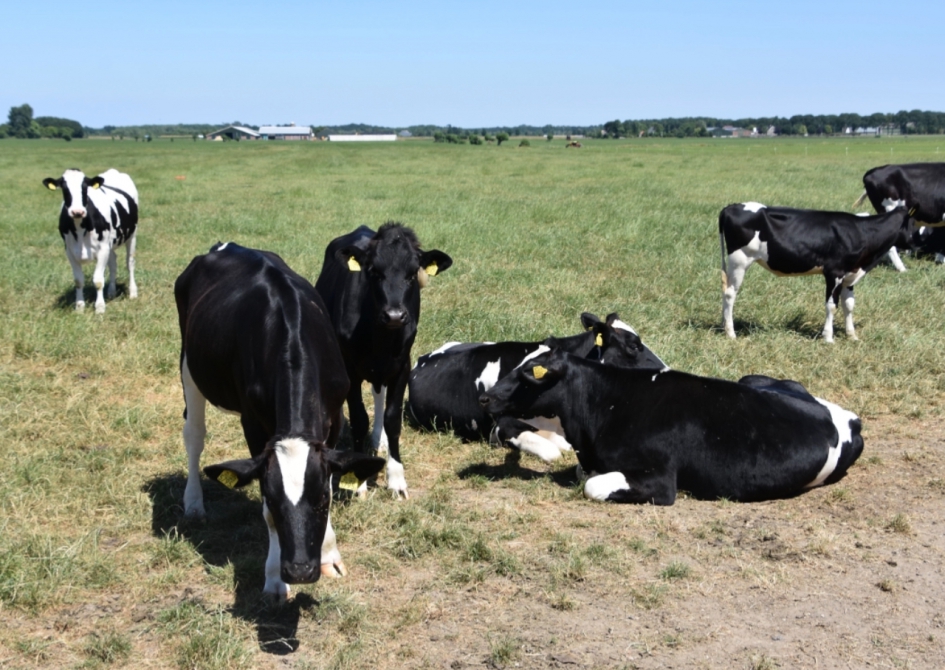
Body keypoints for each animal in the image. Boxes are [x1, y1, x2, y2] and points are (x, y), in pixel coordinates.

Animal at [42, 169, 139, 313]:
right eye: (64, 188)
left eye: (84, 187)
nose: (77, 211)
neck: (80, 228)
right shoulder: (70, 251)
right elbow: (78, 280)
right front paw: (79, 307)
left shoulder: (103, 249)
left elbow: (98, 280)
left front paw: (100, 308)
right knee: (113, 263)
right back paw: (111, 291)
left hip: (132, 235)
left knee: (130, 263)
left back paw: (133, 293)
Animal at [175, 242, 385, 600]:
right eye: (273, 500)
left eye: (321, 500)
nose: (299, 570)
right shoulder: (254, 427)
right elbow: (265, 514)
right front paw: (274, 579)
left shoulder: (333, 421)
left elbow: (331, 478)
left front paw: (329, 556)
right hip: (189, 365)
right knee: (194, 435)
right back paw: (193, 503)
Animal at [315, 223, 452, 499]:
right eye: (374, 272)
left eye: (412, 274)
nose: (395, 315)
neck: (380, 338)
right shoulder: (351, 369)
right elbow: (359, 419)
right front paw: (358, 481)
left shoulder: (401, 367)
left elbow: (392, 418)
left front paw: (396, 479)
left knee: (379, 395)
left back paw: (379, 439)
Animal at [720, 201, 916, 342]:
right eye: (914, 223)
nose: (916, 245)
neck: (861, 232)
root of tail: (731, 206)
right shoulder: (834, 273)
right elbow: (832, 305)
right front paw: (828, 337)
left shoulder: (849, 276)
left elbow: (849, 305)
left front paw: (852, 336)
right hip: (739, 260)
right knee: (730, 293)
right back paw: (731, 333)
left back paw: (723, 325)